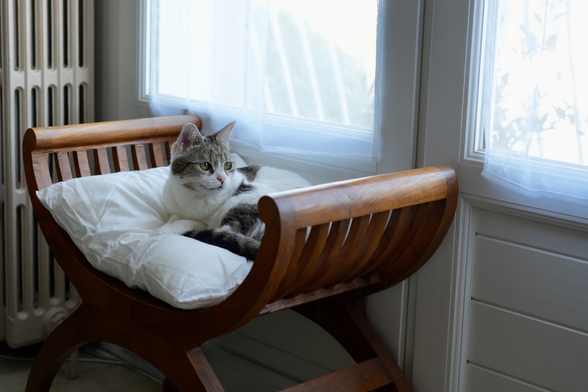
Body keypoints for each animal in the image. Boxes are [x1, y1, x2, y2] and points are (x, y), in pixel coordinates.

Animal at [158, 121, 310, 258]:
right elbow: (174, 216)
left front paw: (164, 229)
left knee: (225, 232)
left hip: (243, 200)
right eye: (205, 165)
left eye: (228, 165)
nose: (222, 179)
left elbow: (187, 222)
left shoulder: (205, 221)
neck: (188, 192)